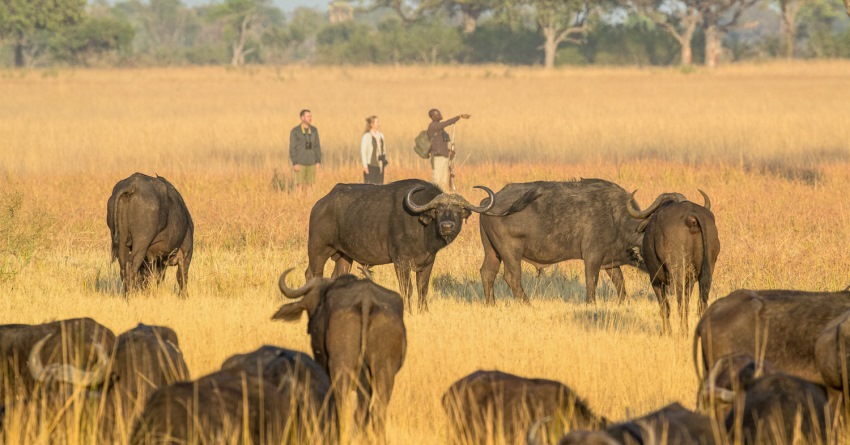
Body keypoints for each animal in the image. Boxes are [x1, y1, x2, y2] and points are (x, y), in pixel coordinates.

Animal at [304, 179, 494, 310]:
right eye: (438, 210)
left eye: (457, 211)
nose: (447, 226)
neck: (421, 228)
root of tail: (319, 205)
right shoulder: (401, 262)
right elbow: (406, 289)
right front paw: (408, 311)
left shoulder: (428, 262)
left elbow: (422, 288)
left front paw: (423, 310)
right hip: (317, 250)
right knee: (312, 274)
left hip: (344, 256)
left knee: (337, 275)